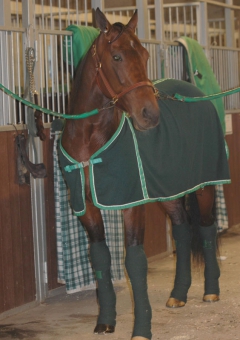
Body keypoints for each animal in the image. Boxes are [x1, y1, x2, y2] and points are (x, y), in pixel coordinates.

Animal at [59, 7, 230, 340]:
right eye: (116, 57)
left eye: (145, 54)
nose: (150, 115)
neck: (89, 143)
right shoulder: (86, 207)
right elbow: (100, 257)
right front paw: (106, 321)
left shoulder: (131, 203)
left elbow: (135, 262)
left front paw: (141, 329)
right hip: (168, 190)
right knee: (181, 229)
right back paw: (178, 294)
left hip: (204, 185)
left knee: (206, 228)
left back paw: (211, 291)